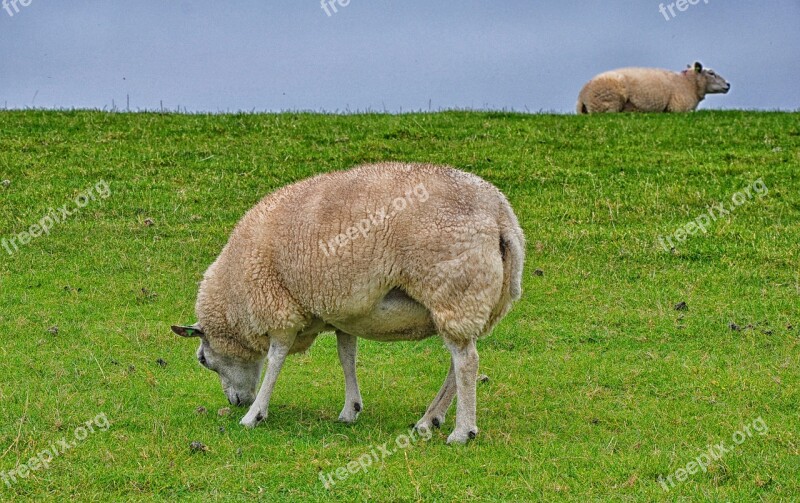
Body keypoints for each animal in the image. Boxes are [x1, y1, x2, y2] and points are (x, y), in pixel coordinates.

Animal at [172, 162, 528, 444]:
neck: (235, 297)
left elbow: (275, 360)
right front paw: (350, 409)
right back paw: (430, 419)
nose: (236, 402)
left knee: (466, 362)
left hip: (454, 290)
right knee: (459, 362)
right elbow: (347, 357)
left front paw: (255, 414)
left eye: (203, 360)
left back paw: (462, 431)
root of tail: (500, 215)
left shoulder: (279, 308)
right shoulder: (343, 312)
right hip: (475, 301)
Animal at [576, 61, 732, 113]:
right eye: (711, 73)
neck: (688, 83)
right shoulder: (678, 108)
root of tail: (582, 95)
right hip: (608, 102)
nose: (728, 85)